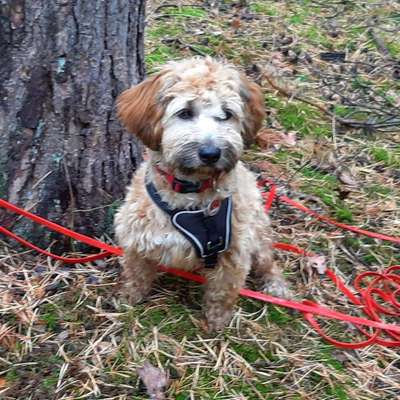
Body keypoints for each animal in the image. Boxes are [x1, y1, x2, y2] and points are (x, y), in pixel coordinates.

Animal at [114, 56, 290, 332]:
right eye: (185, 112)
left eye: (227, 114)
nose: (210, 153)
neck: (190, 193)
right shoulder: (135, 239)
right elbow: (136, 273)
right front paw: (129, 298)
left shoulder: (234, 253)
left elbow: (222, 292)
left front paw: (216, 322)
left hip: (258, 232)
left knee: (268, 261)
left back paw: (276, 285)